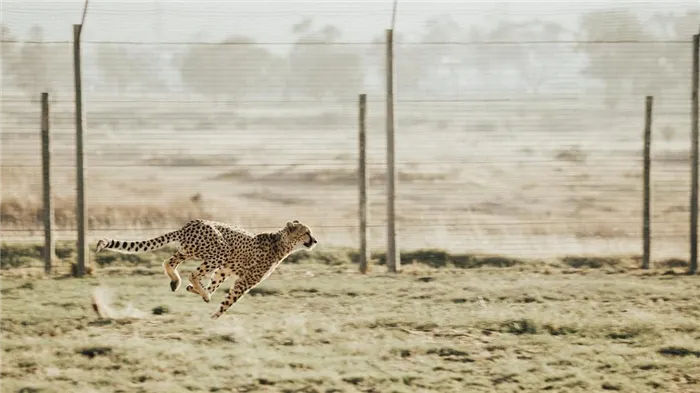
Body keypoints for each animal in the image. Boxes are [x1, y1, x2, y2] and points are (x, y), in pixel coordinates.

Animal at [94, 217, 318, 318]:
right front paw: (214, 316)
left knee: (169, 262)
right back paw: (197, 289)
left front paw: (199, 292)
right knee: (193, 273)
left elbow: (215, 284)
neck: (281, 243)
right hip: (219, 251)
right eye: (306, 232)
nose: (315, 240)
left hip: (190, 251)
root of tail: (191, 223)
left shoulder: (224, 270)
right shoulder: (244, 281)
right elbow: (228, 301)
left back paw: (177, 282)